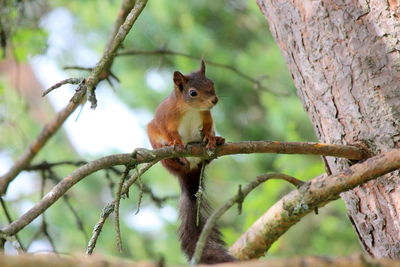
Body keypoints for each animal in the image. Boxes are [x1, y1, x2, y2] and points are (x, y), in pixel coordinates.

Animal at [146, 60, 234, 264]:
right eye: (192, 93)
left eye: (211, 83)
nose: (214, 100)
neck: (191, 109)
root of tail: (190, 172)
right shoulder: (167, 119)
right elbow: (170, 133)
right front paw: (176, 143)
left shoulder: (206, 116)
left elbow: (208, 128)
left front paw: (211, 139)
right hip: (155, 140)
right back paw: (177, 158)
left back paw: (216, 142)